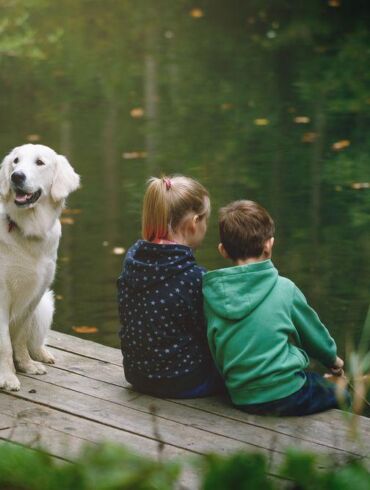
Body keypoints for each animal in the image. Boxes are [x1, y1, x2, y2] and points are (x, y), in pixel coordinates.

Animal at [0, 143, 79, 390]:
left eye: (40, 162)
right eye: (15, 161)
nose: (16, 176)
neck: (26, 230)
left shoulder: (36, 293)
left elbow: (19, 337)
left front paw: (26, 365)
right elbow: (5, 343)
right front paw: (8, 377)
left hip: (45, 304)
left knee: (35, 341)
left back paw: (42, 355)